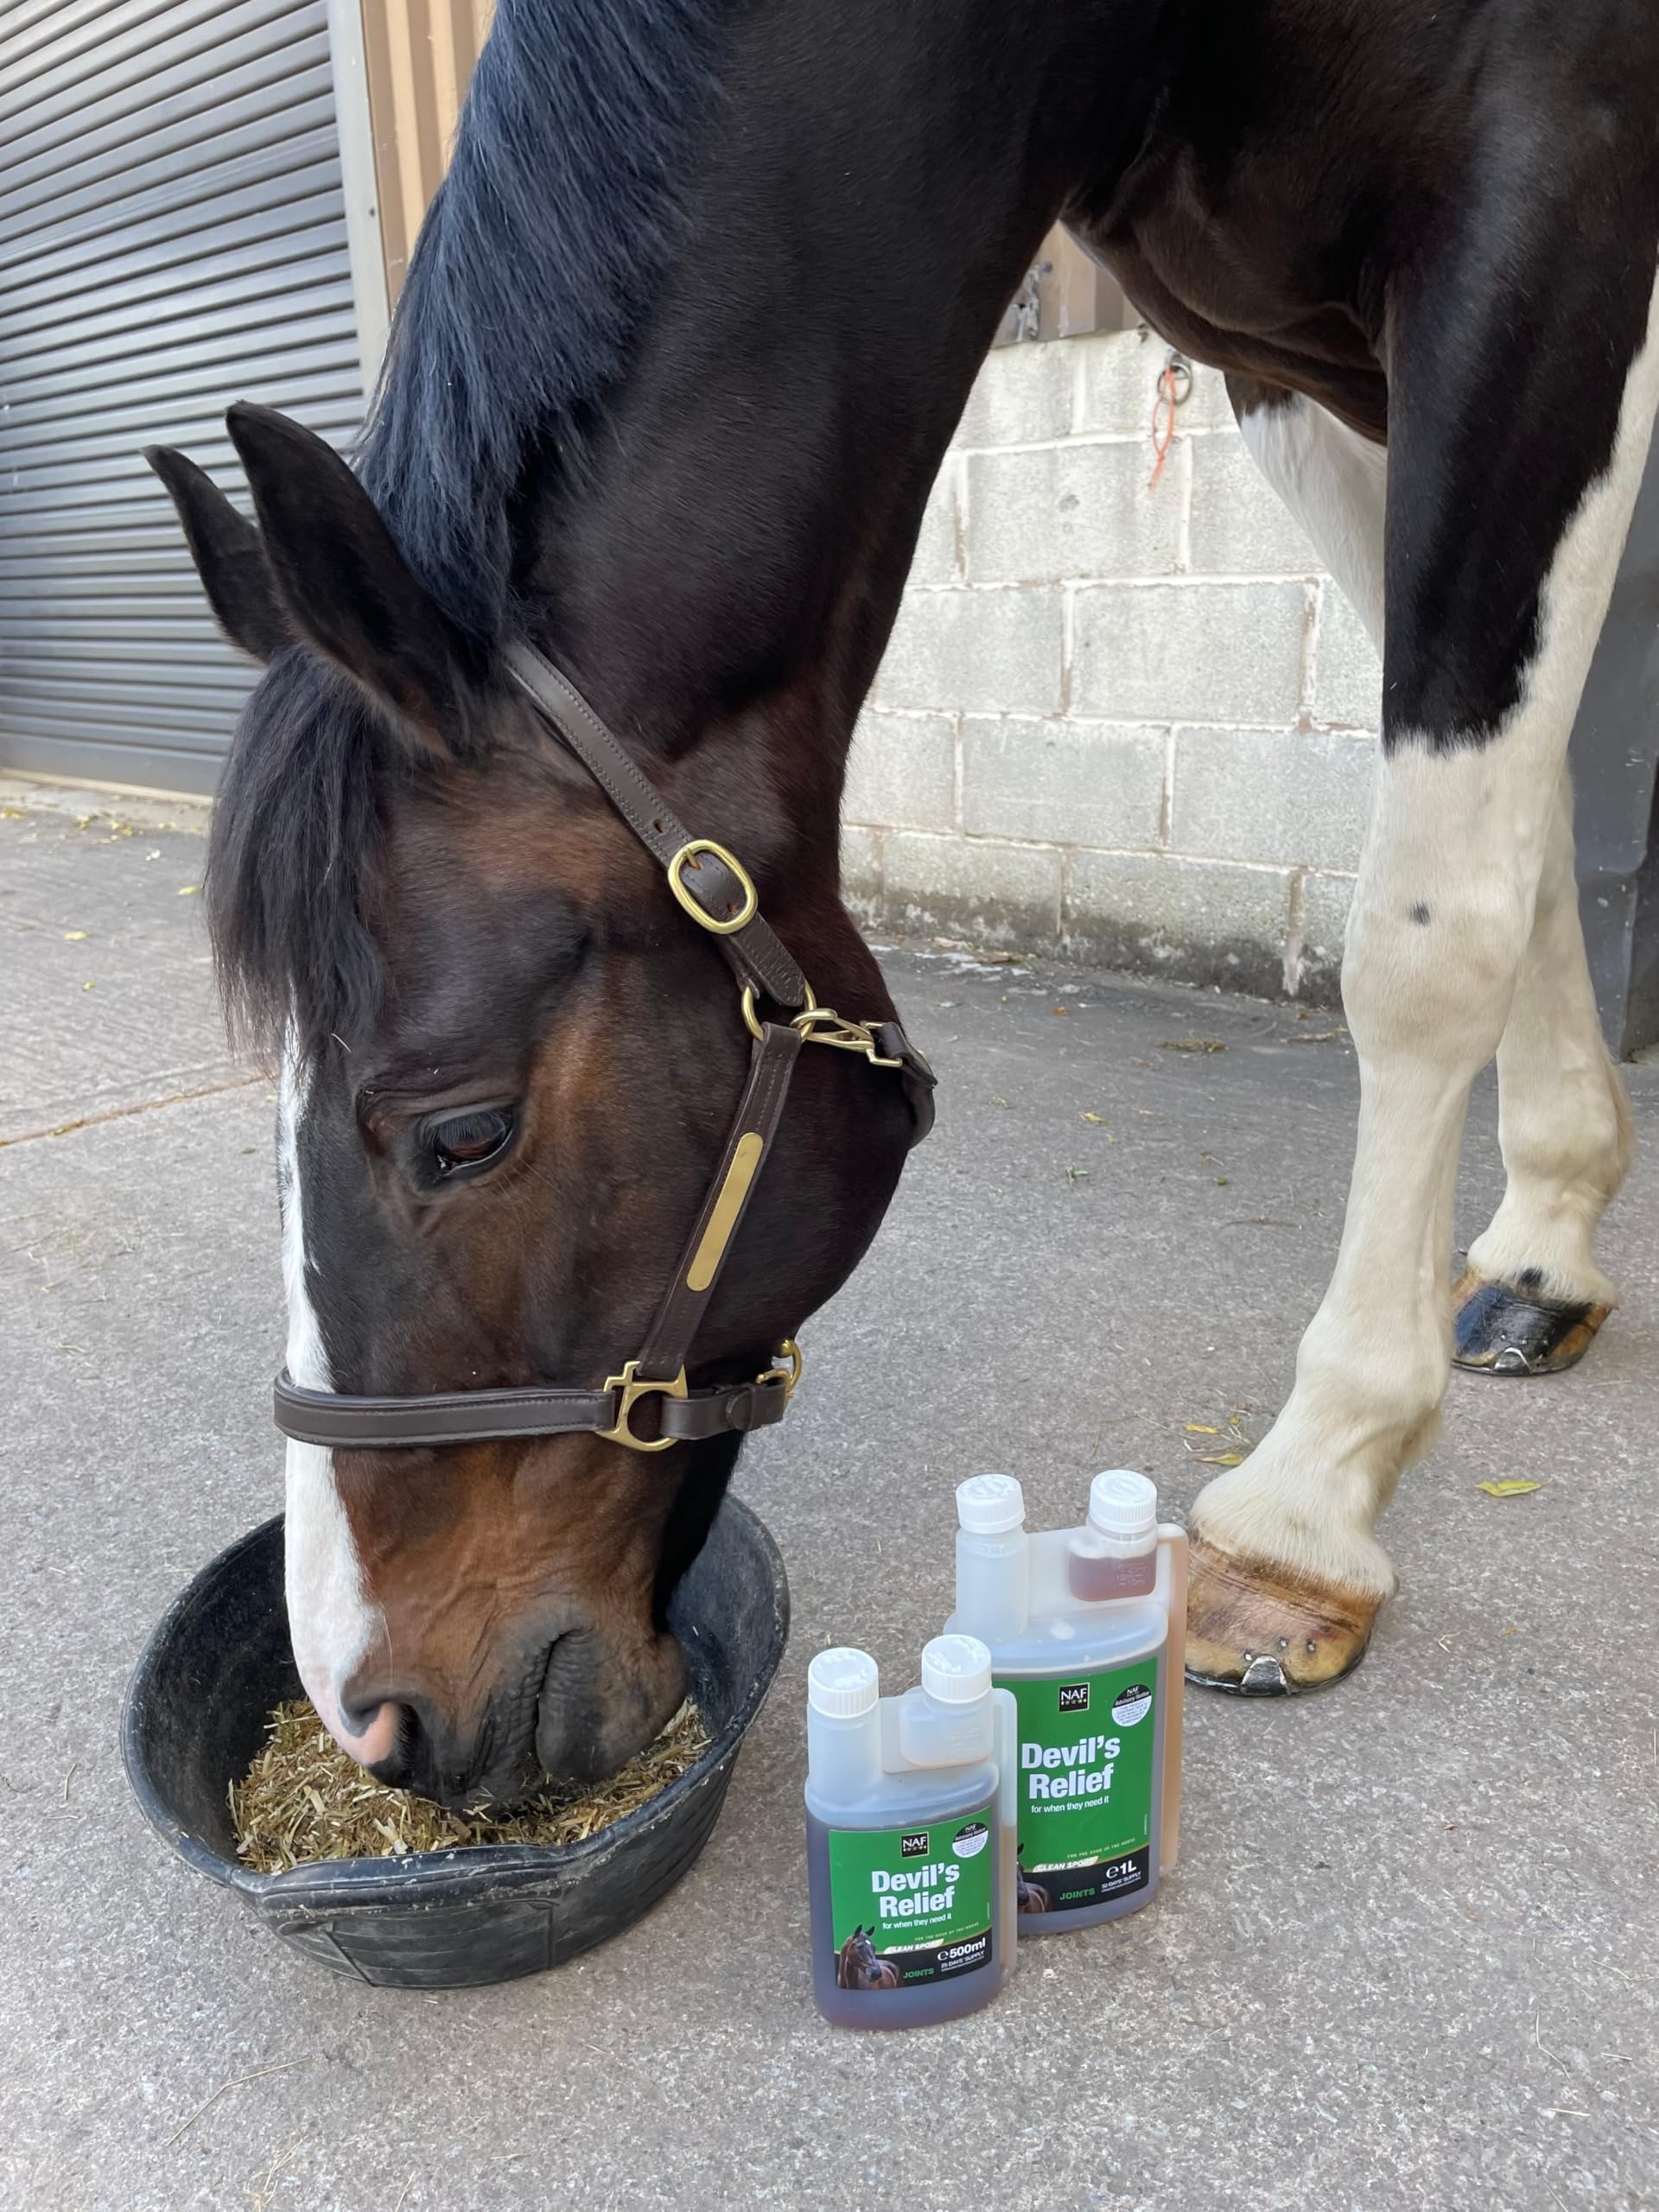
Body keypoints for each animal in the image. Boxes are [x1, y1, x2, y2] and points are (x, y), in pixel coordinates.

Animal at [148, 0, 1659, 1800]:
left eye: (462, 1134)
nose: (371, 1716)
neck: (1143, 48)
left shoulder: (1546, 226)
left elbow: (1434, 926)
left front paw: (1310, 1499)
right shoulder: (1287, 370)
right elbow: (1522, 817)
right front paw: (1549, 1238)